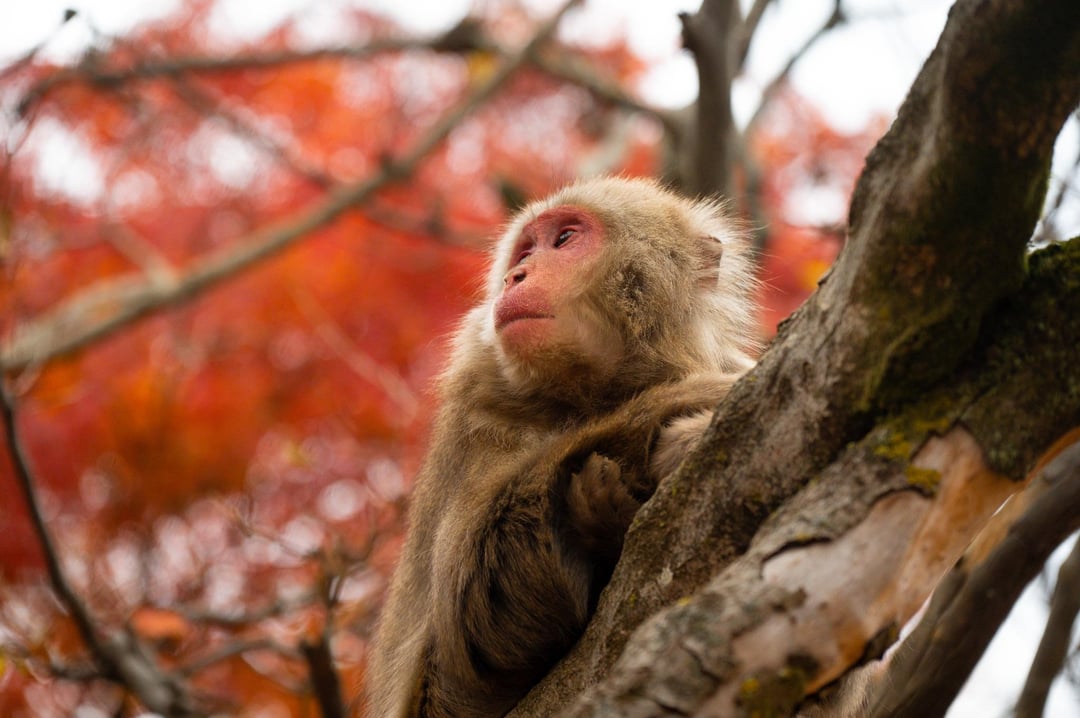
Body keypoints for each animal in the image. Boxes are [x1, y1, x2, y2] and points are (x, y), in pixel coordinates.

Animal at [364, 176, 759, 718]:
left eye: (566, 238)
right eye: (526, 251)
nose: (517, 276)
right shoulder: (475, 408)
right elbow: (466, 615)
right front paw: (676, 409)